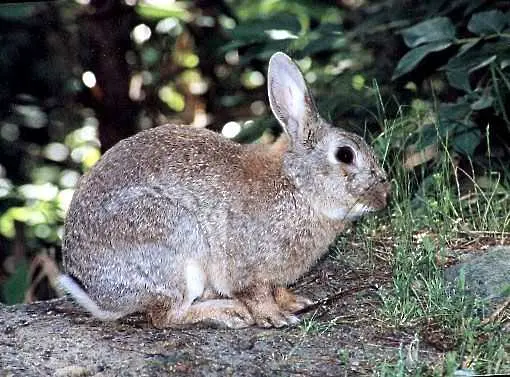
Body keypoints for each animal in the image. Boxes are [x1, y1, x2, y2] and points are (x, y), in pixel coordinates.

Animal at [56, 51, 390, 328]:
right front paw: (275, 318)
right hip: (173, 241)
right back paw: (228, 313)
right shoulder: (247, 269)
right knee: (166, 317)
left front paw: (294, 303)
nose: (384, 197)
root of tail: (102, 296)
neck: (297, 186)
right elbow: (257, 295)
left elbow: (277, 289)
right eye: (345, 155)